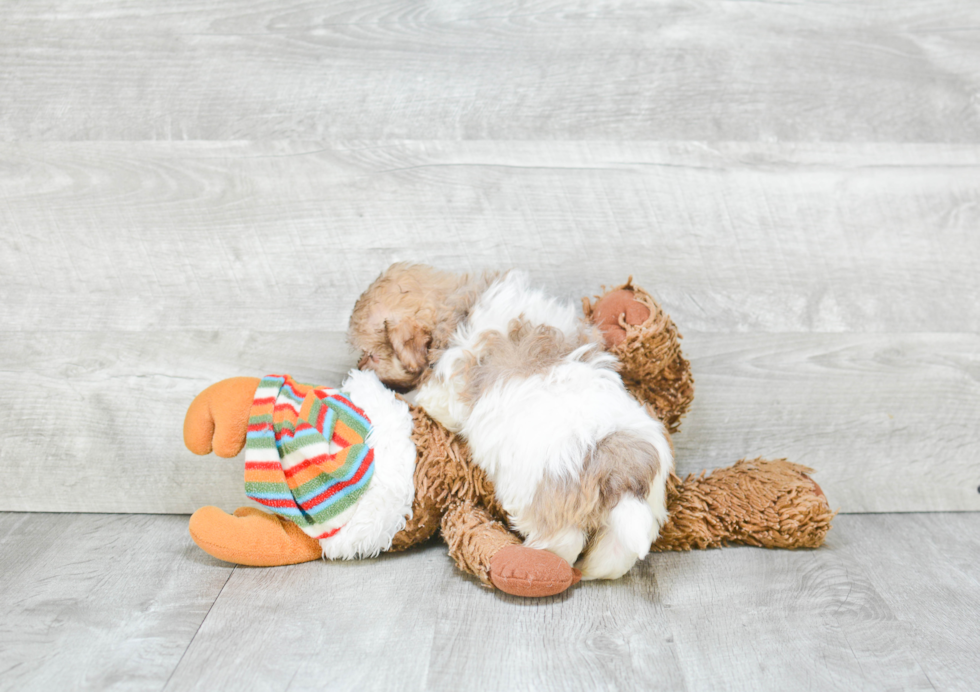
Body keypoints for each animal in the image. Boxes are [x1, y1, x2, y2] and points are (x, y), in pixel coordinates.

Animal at [346, 264, 672, 580]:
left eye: (371, 355)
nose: (357, 365)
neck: (457, 307)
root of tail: (620, 474)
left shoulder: (447, 389)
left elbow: (431, 398)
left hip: (545, 500)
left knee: (564, 542)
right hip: (644, 506)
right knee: (613, 554)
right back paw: (590, 571)